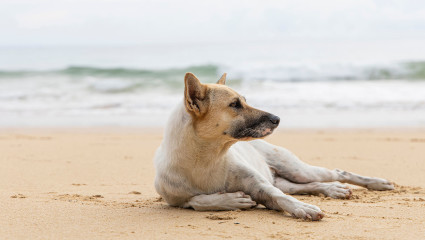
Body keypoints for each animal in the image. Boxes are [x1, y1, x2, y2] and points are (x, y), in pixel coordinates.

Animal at [153, 72, 394, 220]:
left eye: (244, 100)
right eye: (235, 104)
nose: (277, 119)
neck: (206, 158)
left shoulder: (261, 186)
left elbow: (280, 198)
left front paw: (302, 208)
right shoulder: (175, 201)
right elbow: (196, 201)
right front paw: (230, 199)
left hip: (296, 169)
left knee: (334, 173)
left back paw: (376, 183)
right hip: (287, 180)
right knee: (308, 186)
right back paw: (333, 189)